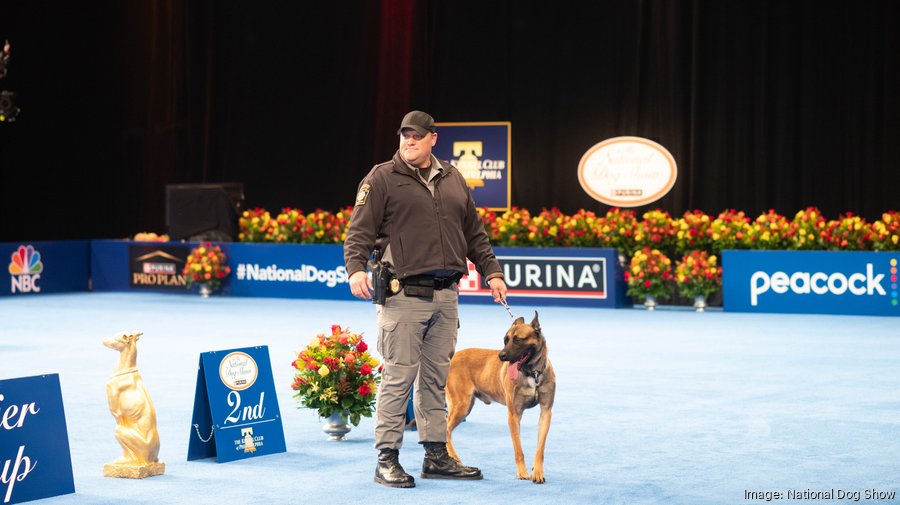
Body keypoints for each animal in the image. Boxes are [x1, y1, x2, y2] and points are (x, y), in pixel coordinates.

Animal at [444, 310, 556, 482]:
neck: (532, 373)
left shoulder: (546, 412)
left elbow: (540, 449)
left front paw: (537, 471)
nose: (501, 356)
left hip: (465, 407)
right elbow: (518, 449)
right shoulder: (514, 415)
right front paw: (522, 472)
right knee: (446, 430)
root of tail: (453, 357)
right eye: (505, 340)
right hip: (461, 406)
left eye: (517, 340)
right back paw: (453, 457)